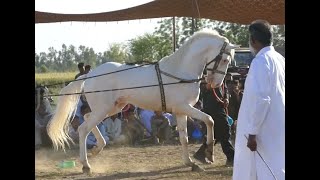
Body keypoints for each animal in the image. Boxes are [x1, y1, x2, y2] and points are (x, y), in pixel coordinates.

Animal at [46, 29, 239, 173]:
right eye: (224, 59)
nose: (216, 84)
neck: (180, 72)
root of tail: (90, 75)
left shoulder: (180, 111)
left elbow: (184, 138)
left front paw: (191, 163)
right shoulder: (184, 107)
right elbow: (210, 120)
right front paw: (209, 153)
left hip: (113, 108)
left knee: (87, 120)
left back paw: (97, 149)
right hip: (104, 109)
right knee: (83, 128)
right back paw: (86, 165)